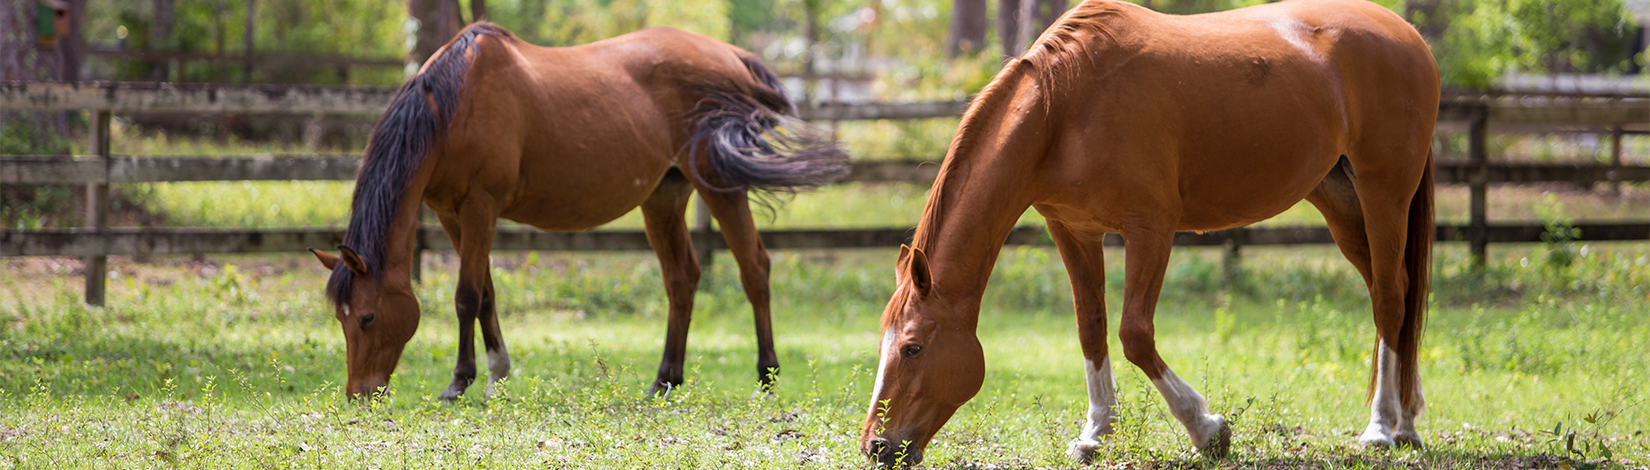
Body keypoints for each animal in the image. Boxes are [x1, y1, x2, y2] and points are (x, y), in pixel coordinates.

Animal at [307, 23, 847, 400]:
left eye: (368, 317)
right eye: (341, 318)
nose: (360, 394)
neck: (452, 107)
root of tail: (730, 54)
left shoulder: (481, 207)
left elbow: (465, 296)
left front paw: (460, 382)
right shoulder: (451, 215)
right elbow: (487, 294)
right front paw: (498, 374)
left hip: (720, 183)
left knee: (754, 268)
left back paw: (767, 377)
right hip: (664, 197)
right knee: (682, 279)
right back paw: (665, 381)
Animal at [859, 0, 1437, 465]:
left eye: (912, 348)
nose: (875, 446)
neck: (1064, 106)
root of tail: (1409, 37)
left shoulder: (1152, 229)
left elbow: (1135, 334)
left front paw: (1207, 430)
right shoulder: (1073, 230)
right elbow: (1090, 328)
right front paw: (1095, 433)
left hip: (1384, 193)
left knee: (1390, 297)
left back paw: (1381, 429)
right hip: (1340, 201)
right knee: (1394, 295)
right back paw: (1407, 422)